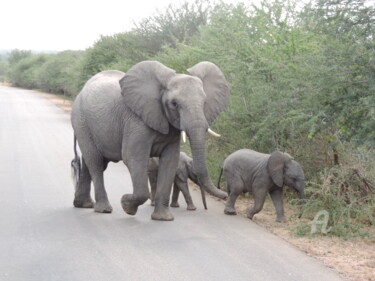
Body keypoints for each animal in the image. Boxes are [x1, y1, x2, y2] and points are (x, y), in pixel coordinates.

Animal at [70, 60, 229, 220]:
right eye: (174, 104)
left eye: (204, 102)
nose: (226, 195)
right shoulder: (136, 121)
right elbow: (133, 157)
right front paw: (126, 205)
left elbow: (170, 161)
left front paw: (163, 218)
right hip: (81, 122)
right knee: (95, 162)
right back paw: (103, 209)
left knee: (91, 163)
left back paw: (83, 204)